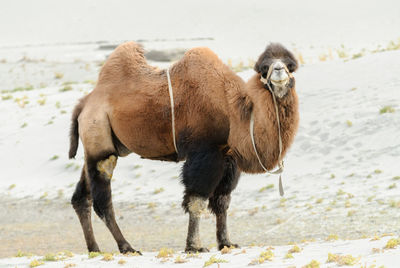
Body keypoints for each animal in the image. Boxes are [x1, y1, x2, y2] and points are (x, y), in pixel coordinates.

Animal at [69, 41, 300, 253]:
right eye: (264, 67)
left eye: (291, 65)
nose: (278, 71)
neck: (232, 110)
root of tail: (84, 103)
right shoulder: (205, 152)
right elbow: (196, 200)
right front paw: (194, 246)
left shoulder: (228, 156)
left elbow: (222, 202)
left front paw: (226, 243)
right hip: (99, 136)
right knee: (102, 197)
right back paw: (127, 247)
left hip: (105, 144)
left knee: (81, 197)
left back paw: (94, 248)